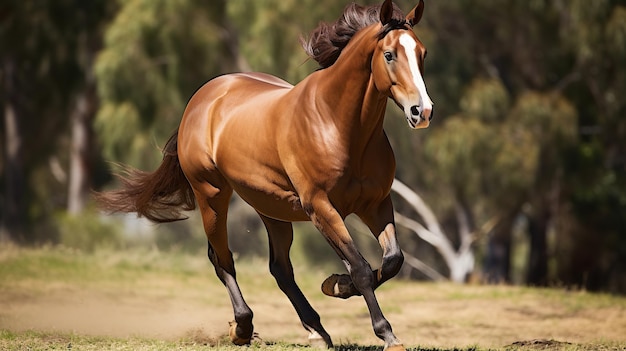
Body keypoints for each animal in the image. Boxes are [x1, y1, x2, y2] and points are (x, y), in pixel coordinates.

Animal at [98, 0, 428, 350]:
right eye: (389, 54)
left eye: (422, 53)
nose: (422, 112)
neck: (337, 123)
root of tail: (201, 100)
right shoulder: (322, 209)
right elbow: (362, 268)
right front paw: (387, 334)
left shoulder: (375, 204)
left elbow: (392, 260)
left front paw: (336, 284)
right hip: (212, 196)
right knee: (222, 258)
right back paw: (242, 327)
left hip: (272, 209)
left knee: (279, 268)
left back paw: (316, 330)